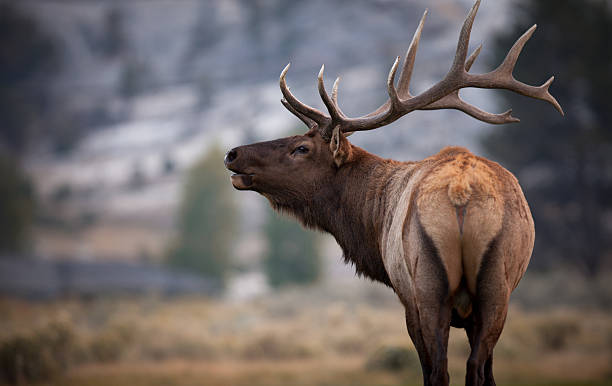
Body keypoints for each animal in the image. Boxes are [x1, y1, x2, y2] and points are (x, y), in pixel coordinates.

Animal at [222, 1, 560, 384]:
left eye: (301, 149)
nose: (232, 154)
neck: (373, 222)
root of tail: (461, 193)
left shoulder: (406, 296)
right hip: (497, 291)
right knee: (476, 366)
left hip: (428, 287)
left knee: (441, 370)